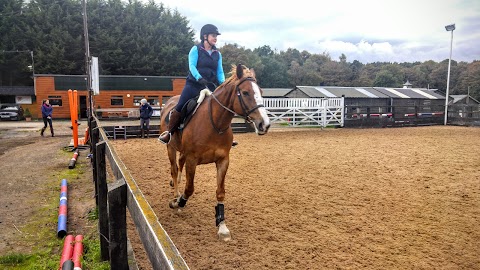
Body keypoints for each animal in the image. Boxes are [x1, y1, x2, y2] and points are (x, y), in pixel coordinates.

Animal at [158, 63, 268, 240]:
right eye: (245, 92)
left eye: (261, 92)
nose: (264, 124)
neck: (215, 123)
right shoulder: (192, 159)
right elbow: (189, 189)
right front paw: (179, 201)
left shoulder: (223, 160)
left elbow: (220, 192)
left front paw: (222, 225)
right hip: (170, 147)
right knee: (174, 170)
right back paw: (175, 195)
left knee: (179, 166)